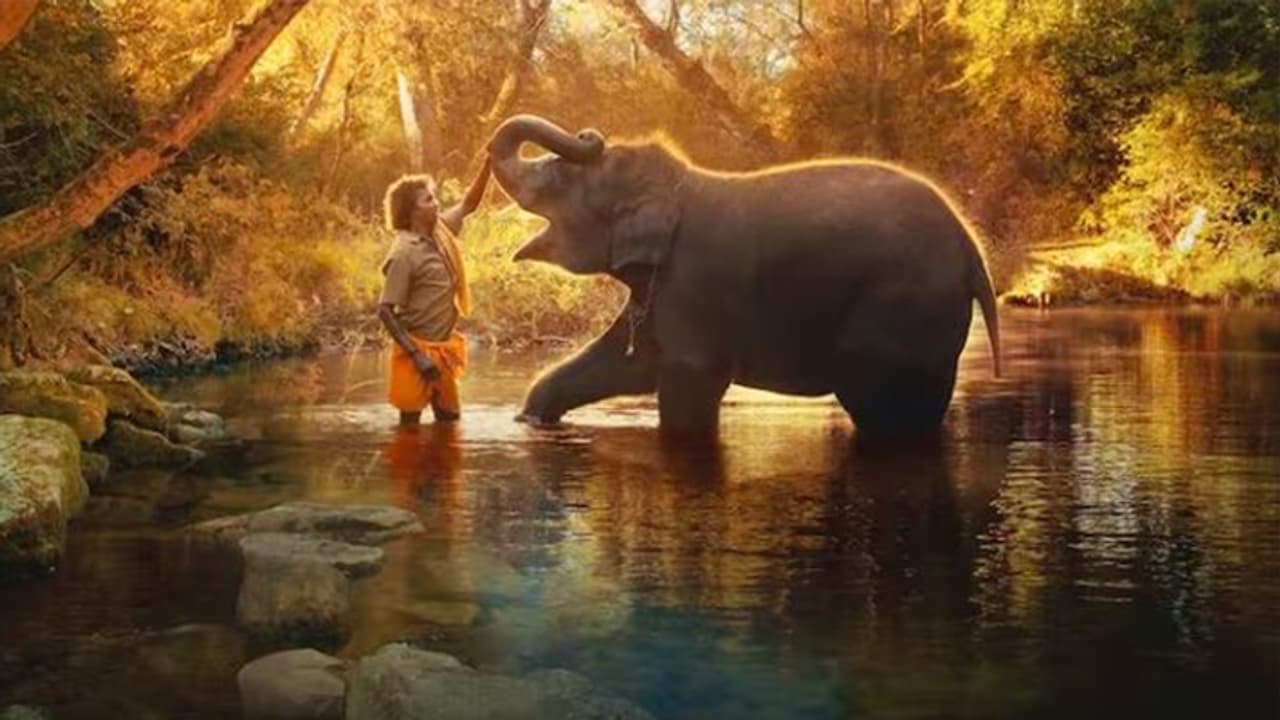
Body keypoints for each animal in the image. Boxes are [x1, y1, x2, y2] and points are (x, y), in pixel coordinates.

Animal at [486, 114, 1000, 436]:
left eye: (560, 180)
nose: (589, 133)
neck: (678, 186)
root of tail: (973, 252)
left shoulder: (694, 285)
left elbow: (688, 382)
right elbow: (628, 363)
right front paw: (531, 419)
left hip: (902, 309)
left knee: (880, 406)